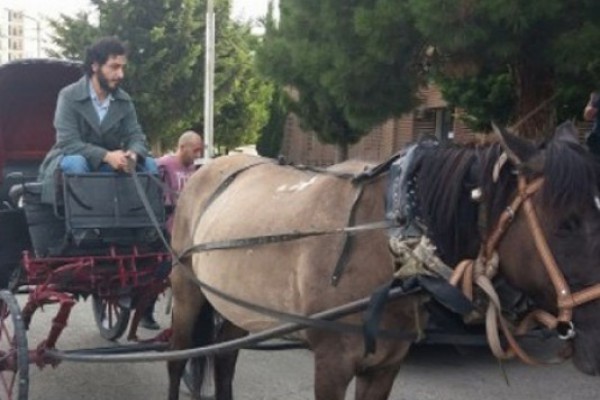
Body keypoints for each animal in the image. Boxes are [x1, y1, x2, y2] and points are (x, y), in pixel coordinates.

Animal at [166, 122, 600, 400]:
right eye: (566, 224)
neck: (396, 238)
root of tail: (209, 166)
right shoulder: (331, 364)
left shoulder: (386, 367)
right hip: (186, 291)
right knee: (176, 361)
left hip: (238, 307)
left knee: (224, 358)